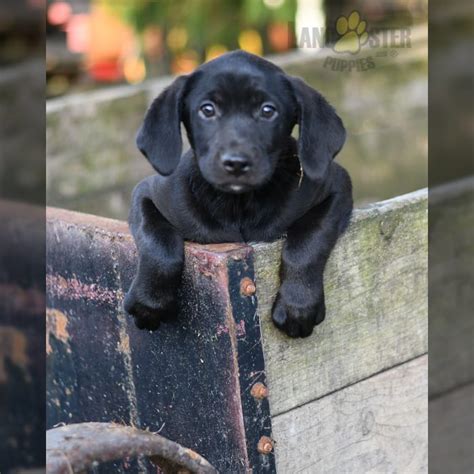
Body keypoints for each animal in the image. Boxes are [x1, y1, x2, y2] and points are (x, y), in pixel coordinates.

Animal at [124, 51, 354, 336]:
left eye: (267, 110)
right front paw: (149, 302)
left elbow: (308, 240)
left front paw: (298, 305)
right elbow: (159, 243)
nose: (236, 163)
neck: (240, 204)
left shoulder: (337, 187)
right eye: (207, 110)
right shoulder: (145, 194)